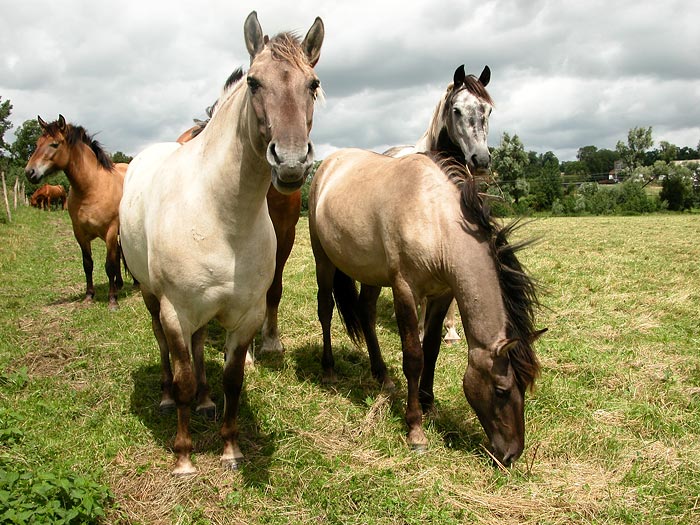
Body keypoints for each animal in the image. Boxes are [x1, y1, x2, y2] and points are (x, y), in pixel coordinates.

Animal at [24, 115, 129, 310]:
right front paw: (89, 296)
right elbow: (87, 264)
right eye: (37, 143)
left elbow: (109, 265)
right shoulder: (79, 233)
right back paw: (119, 283)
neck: (92, 187)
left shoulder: (110, 232)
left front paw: (112, 300)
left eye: (55, 144)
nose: (30, 172)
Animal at [119, 12, 326, 472]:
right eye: (253, 82)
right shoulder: (176, 310)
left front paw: (230, 448)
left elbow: (233, 379)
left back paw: (204, 401)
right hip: (151, 297)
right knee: (165, 348)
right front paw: (183, 456)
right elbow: (181, 374)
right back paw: (168, 398)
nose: (290, 161)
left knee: (198, 351)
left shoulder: (246, 314)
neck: (222, 218)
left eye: (313, 84)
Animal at [310, 149, 548, 464]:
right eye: (501, 390)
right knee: (325, 309)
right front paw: (415, 430)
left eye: (525, 387)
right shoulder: (405, 291)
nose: (511, 454)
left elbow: (432, 350)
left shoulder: (442, 294)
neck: (434, 219)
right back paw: (328, 370)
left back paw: (382, 376)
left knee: (366, 312)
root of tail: (329, 162)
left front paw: (428, 404)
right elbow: (414, 357)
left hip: (372, 274)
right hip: (322, 258)